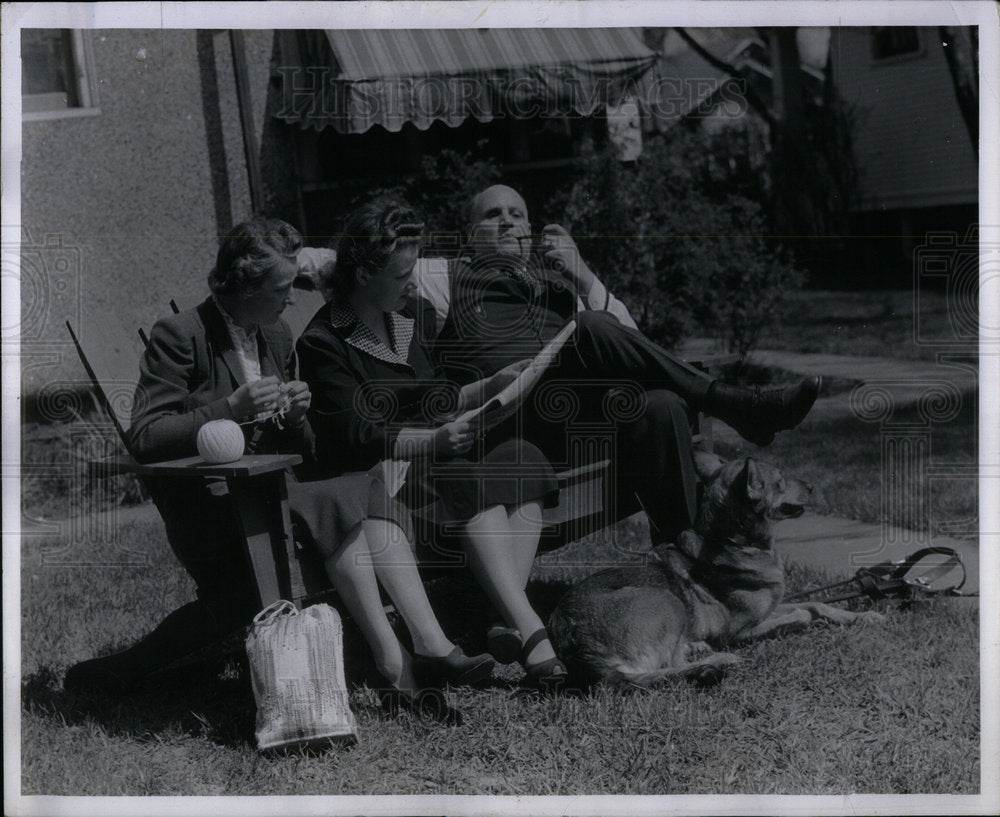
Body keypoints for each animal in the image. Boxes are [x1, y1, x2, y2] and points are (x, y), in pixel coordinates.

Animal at [548, 450, 884, 684]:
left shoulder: (773, 606)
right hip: (668, 600)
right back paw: (719, 659)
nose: (813, 486)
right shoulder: (741, 631)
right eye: (780, 480)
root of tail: (576, 643)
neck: (731, 542)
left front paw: (864, 616)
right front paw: (804, 620)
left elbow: (817, 603)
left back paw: (699, 649)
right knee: (669, 666)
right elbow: (804, 613)